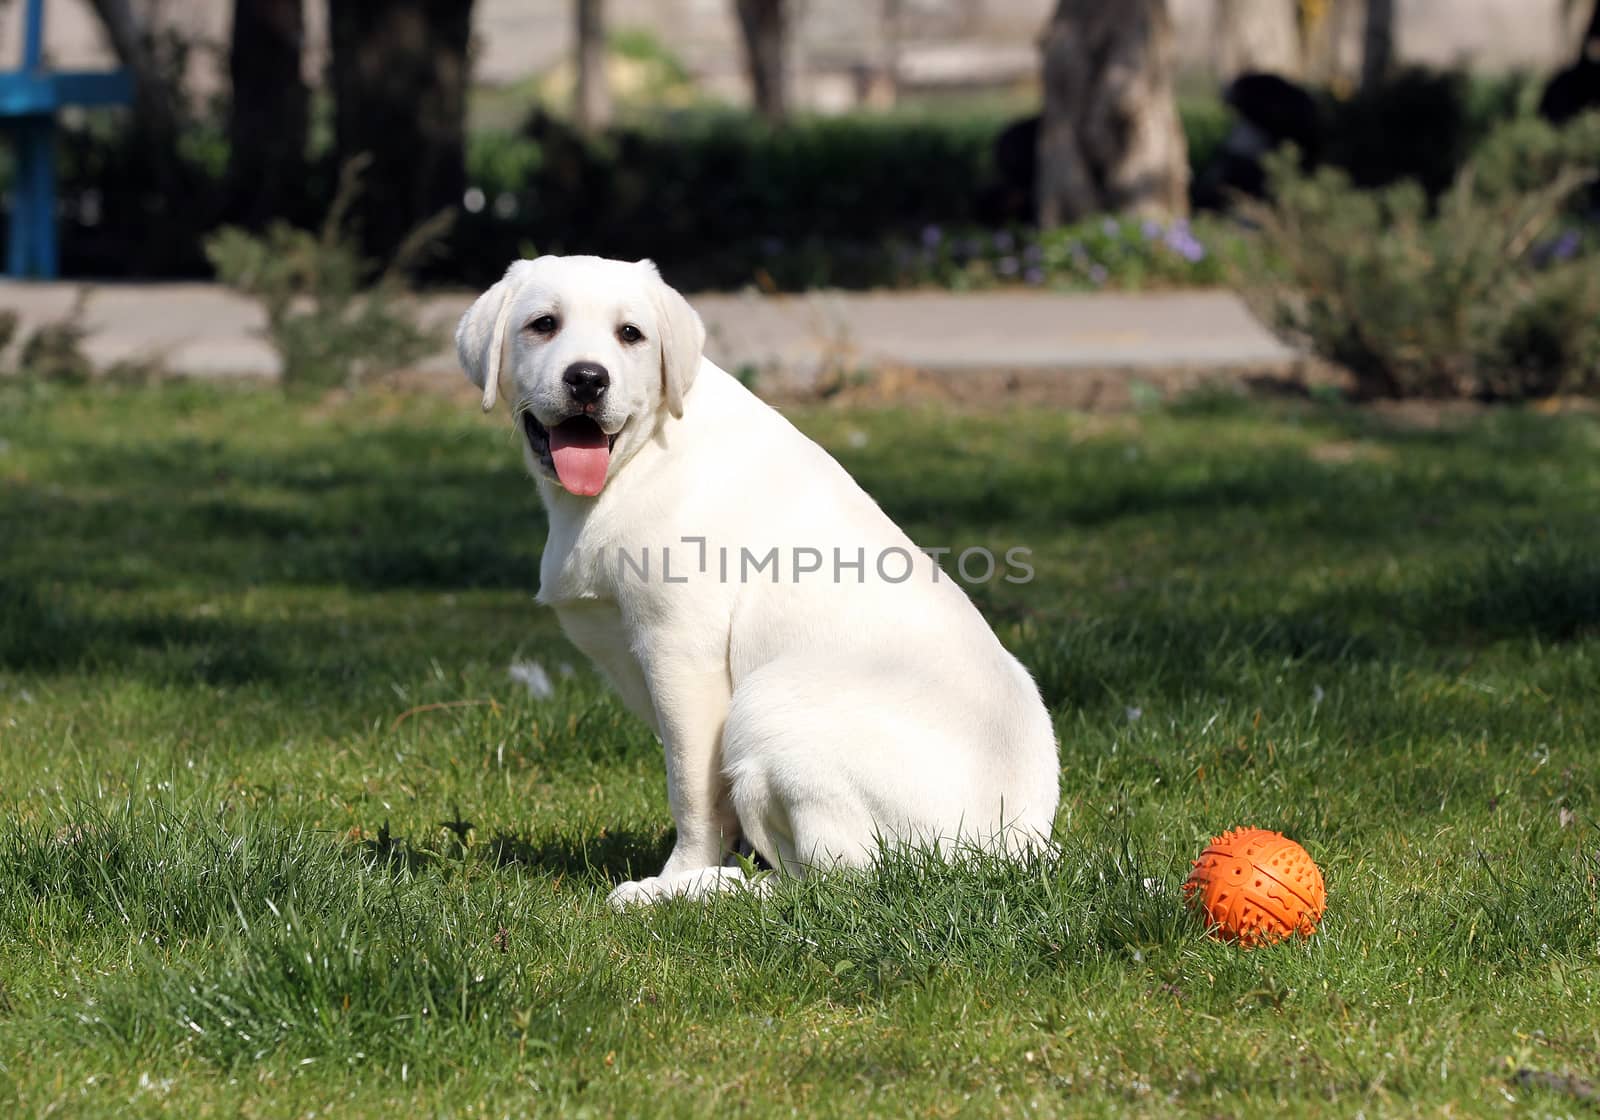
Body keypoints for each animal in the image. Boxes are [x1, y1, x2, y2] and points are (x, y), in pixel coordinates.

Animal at [457, 257, 1056, 908]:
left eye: (631, 335)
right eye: (543, 324)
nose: (588, 380)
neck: (636, 462)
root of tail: (1010, 850)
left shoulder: (681, 654)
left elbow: (692, 792)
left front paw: (679, 874)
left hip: (768, 705)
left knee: (835, 882)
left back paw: (692, 892)